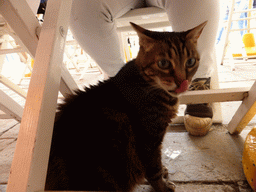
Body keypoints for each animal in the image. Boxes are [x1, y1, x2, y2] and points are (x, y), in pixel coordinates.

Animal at [45, 21, 207, 191]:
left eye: (190, 62)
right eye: (163, 63)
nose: (183, 82)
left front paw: (163, 172)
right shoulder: (149, 141)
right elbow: (154, 168)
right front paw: (162, 186)